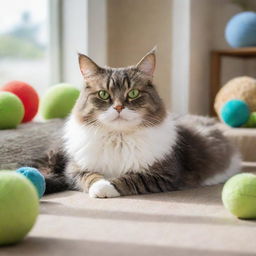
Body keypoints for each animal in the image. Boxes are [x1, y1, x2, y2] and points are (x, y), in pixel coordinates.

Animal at [37, 49, 241, 199]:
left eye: (133, 93)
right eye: (103, 94)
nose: (119, 107)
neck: (118, 138)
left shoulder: (164, 174)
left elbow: (130, 179)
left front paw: (107, 188)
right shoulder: (74, 169)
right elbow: (90, 176)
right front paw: (99, 186)